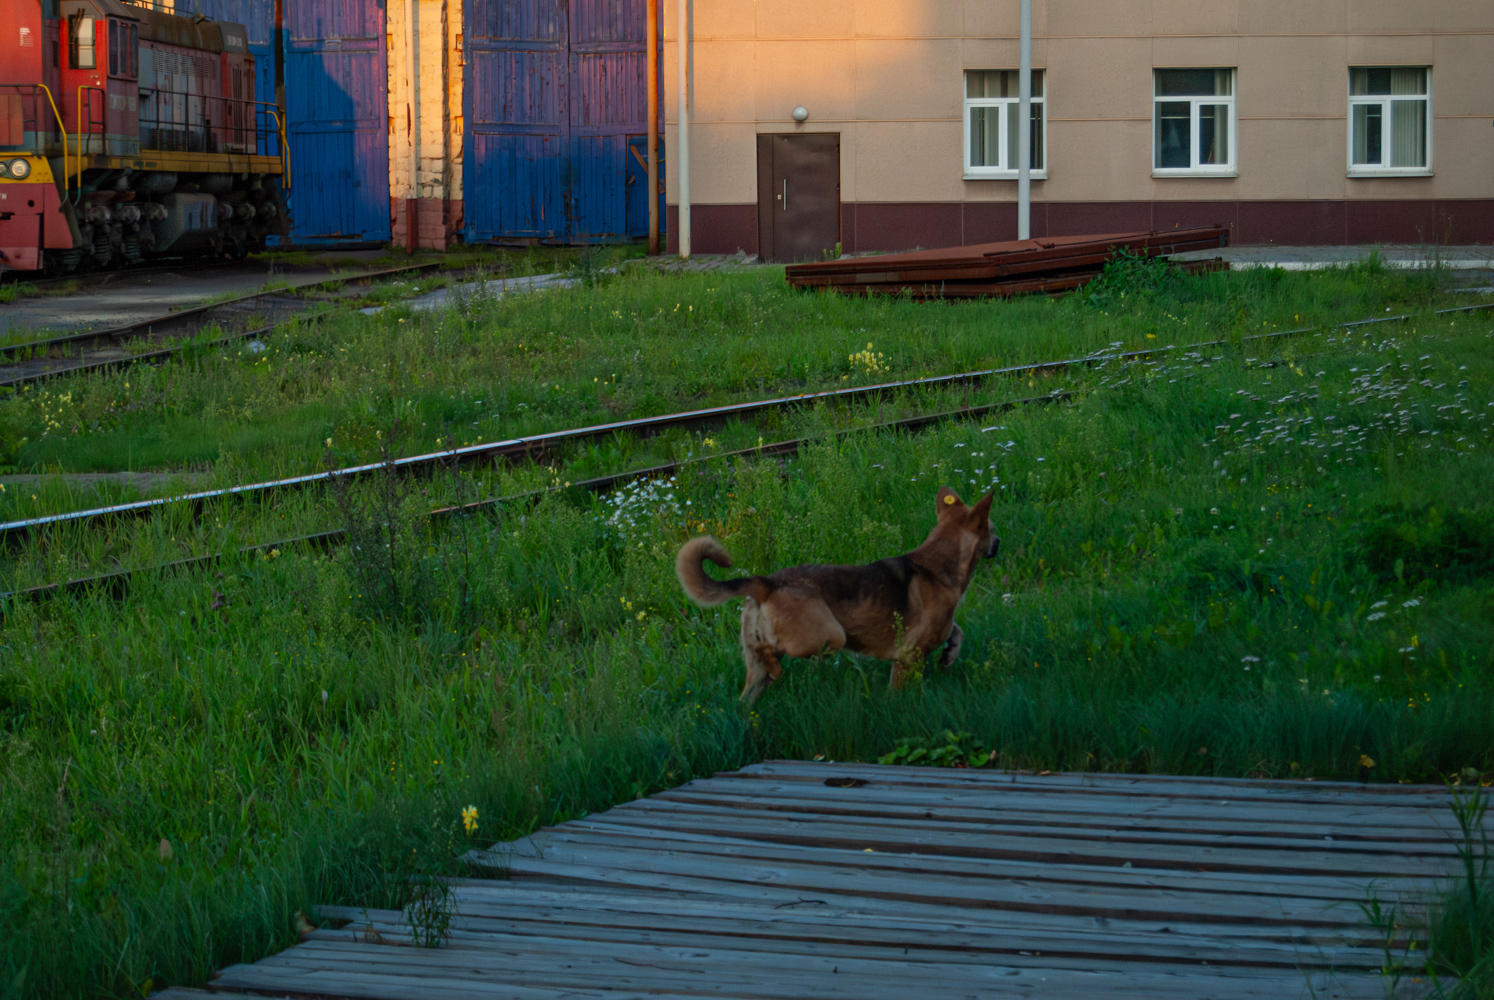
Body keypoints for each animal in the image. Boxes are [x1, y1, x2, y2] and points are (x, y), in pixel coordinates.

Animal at [675, 487, 997, 699]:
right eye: (992, 529)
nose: (999, 543)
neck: (938, 563)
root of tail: (767, 583)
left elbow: (957, 630)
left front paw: (950, 654)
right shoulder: (908, 658)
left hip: (757, 674)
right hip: (828, 636)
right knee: (770, 650)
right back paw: (775, 666)